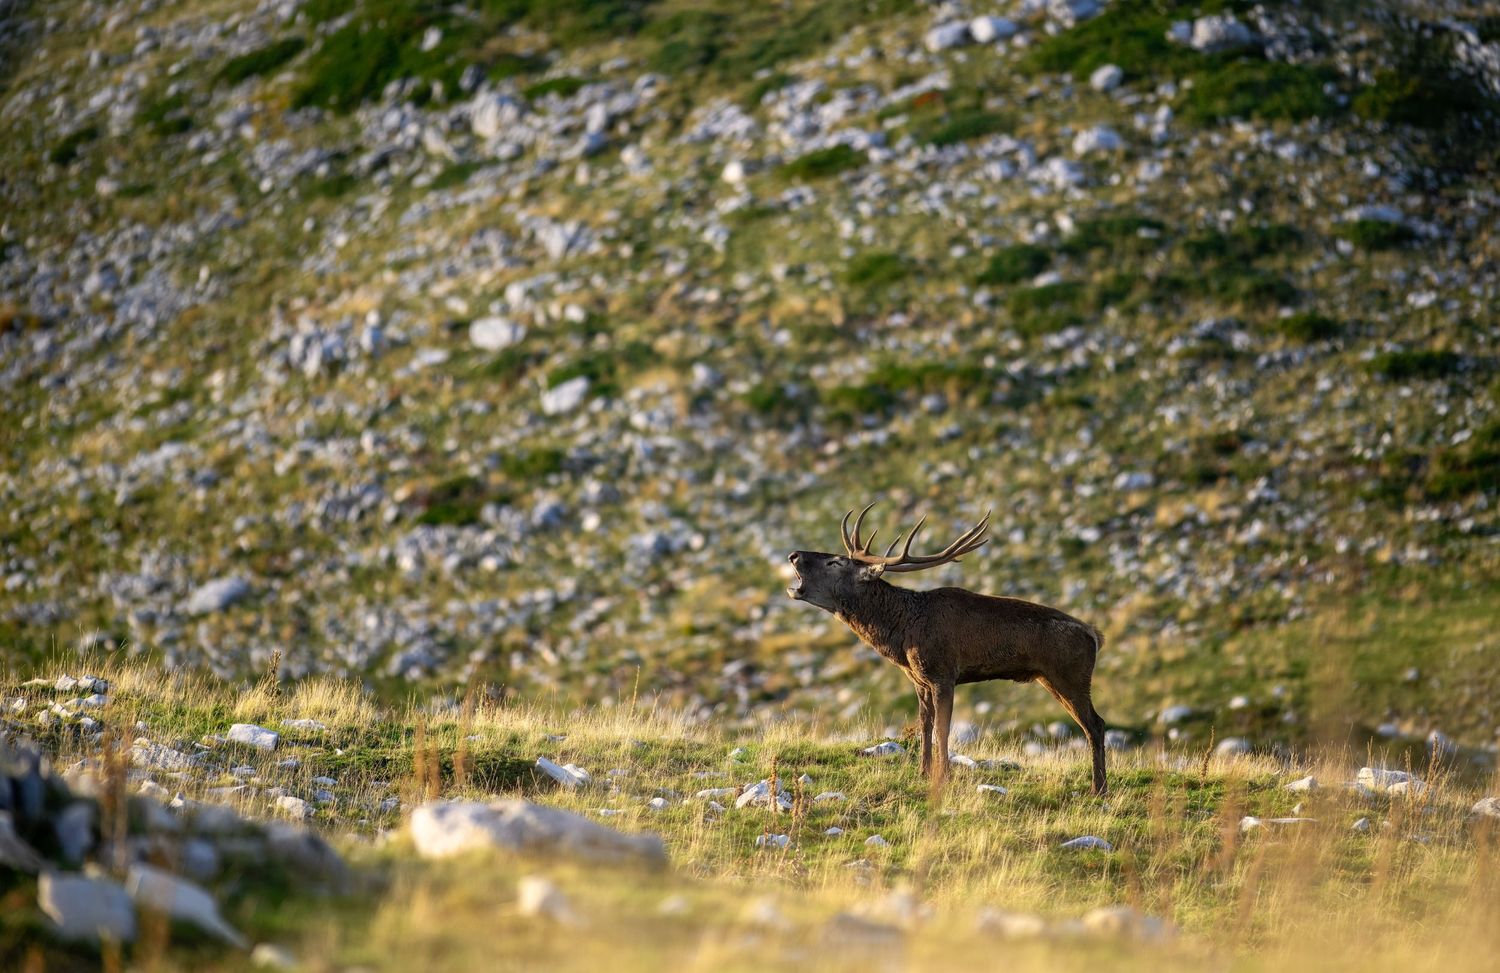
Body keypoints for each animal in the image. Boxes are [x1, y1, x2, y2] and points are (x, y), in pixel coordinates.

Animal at [787, 504, 1109, 794]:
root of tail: (1095, 635)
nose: (794, 554)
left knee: (1095, 724)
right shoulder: (919, 680)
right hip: (1051, 679)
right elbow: (925, 726)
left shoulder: (943, 673)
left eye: (836, 562)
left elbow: (942, 729)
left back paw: (1099, 788)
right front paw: (922, 772)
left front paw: (944, 778)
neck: (902, 632)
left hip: (1070, 676)